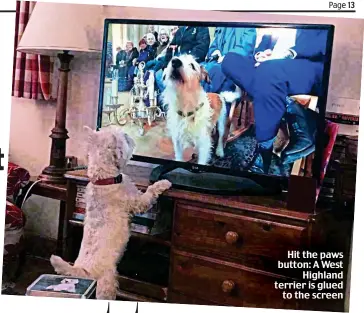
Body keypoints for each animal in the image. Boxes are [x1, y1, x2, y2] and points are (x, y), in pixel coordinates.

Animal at [49, 125, 172, 298]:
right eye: (123, 137)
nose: (130, 136)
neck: (103, 179)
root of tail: (83, 272)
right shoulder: (137, 202)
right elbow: (149, 193)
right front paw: (163, 183)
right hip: (107, 283)